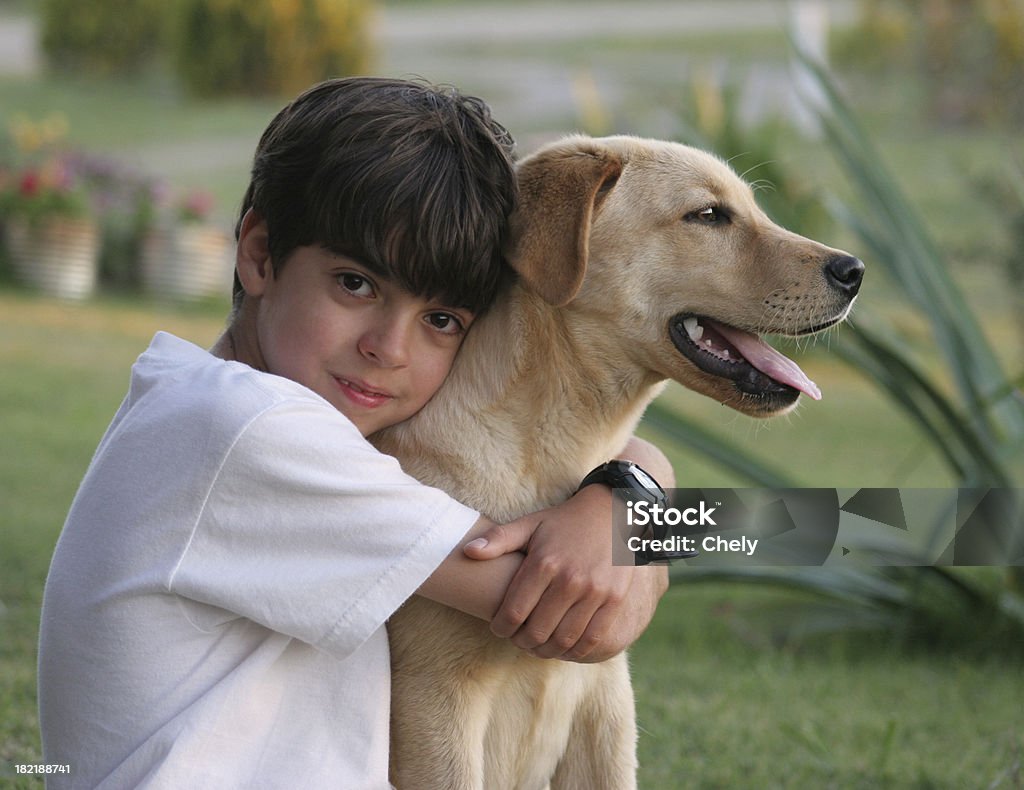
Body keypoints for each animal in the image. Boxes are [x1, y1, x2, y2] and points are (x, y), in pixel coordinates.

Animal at [372, 133, 860, 786]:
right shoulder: (436, 700)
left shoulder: (603, 696)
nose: (856, 271)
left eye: (753, 209)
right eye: (708, 215)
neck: (552, 450)